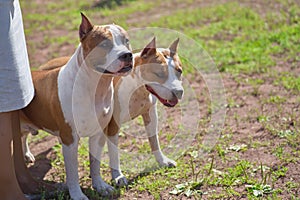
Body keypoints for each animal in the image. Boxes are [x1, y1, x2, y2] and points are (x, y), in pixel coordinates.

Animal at [20, 13, 132, 199]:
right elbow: (72, 173)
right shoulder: (70, 139)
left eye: (126, 41)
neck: (96, 87)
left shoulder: (98, 134)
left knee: (22, 135)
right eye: (105, 44)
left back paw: (27, 154)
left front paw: (100, 186)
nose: (127, 55)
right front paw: (77, 195)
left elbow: (95, 163)